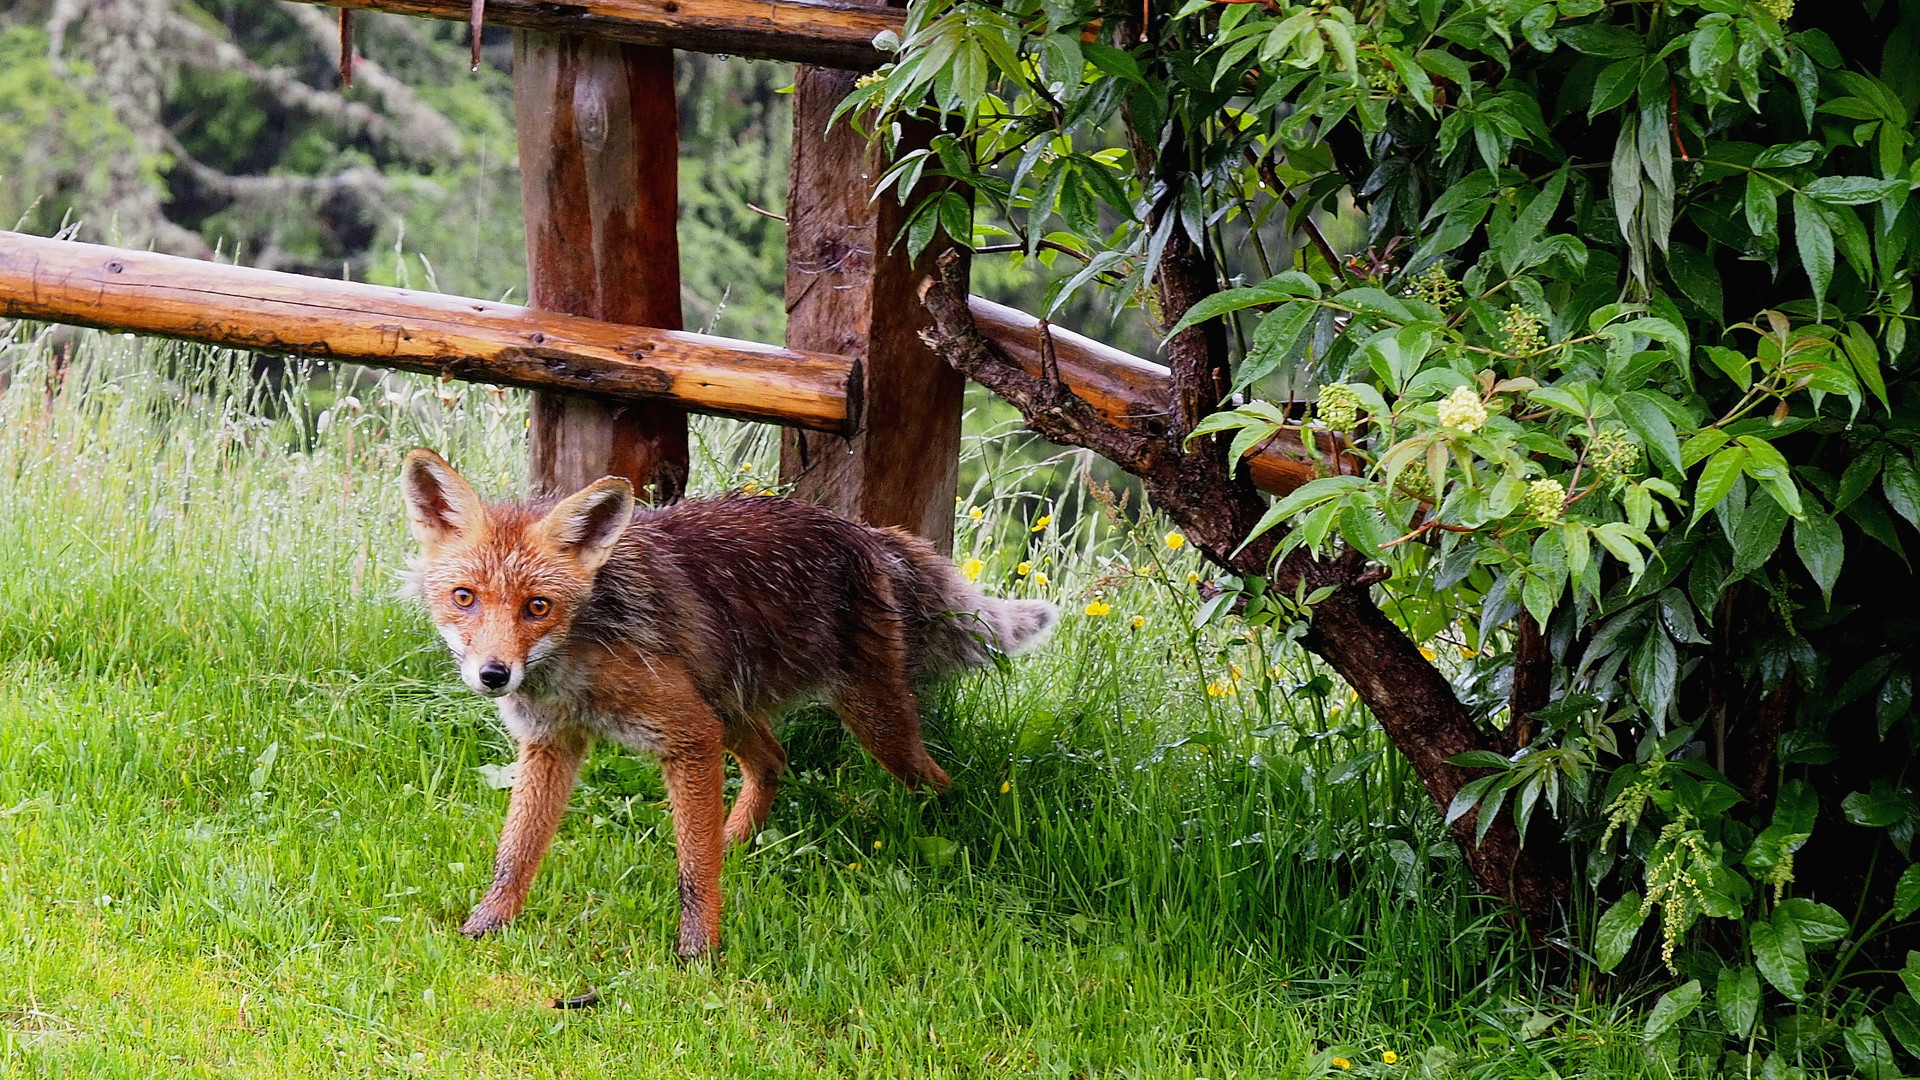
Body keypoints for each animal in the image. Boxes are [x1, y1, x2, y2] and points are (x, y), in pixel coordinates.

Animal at [397, 449, 1059, 953]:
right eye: (464, 598)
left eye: (537, 606)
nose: (493, 675)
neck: (579, 660)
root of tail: (868, 532)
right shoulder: (551, 744)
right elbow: (516, 854)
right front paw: (485, 926)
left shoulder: (687, 736)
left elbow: (694, 869)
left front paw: (698, 952)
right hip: (731, 710)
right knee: (774, 761)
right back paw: (736, 839)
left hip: (868, 721)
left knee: (937, 779)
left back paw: (949, 834)